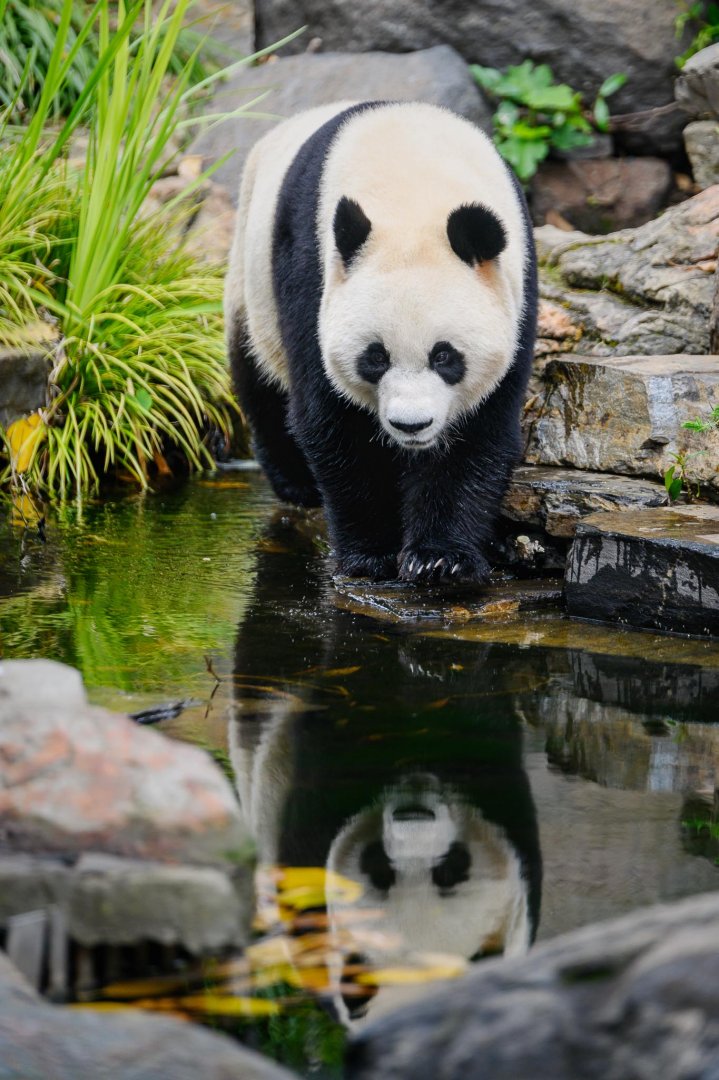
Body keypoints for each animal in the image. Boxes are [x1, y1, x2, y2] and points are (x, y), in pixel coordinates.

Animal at [225, 101, 537, 583]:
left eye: (445, 356)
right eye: (375, 359)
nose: (411, 425)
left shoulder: (516, 292)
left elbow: (479, 432)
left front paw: (439, 558)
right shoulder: (313, 274)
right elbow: (333, 421)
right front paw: (373, 555)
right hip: (251, 272)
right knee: (258, 376)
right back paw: (296, 483)